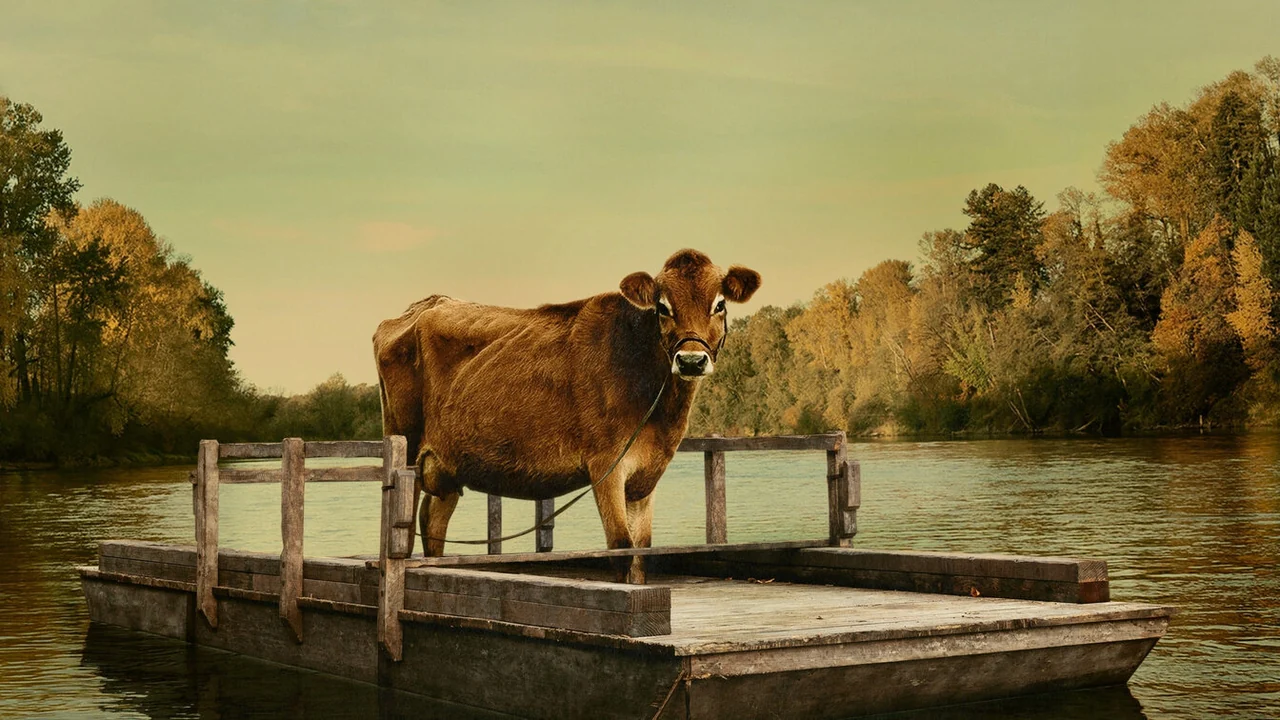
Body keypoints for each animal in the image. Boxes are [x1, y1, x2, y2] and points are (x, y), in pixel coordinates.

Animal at [373, 249, 760, 583]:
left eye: (719, 304)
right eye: (662, 307)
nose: (691, 361)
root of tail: (424, 305)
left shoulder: (646, 476)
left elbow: (641, 553)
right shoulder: (606, 465)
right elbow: (620, 548)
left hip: (448, 464)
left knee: (433, 522)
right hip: (406, 447)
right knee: (404, 530)